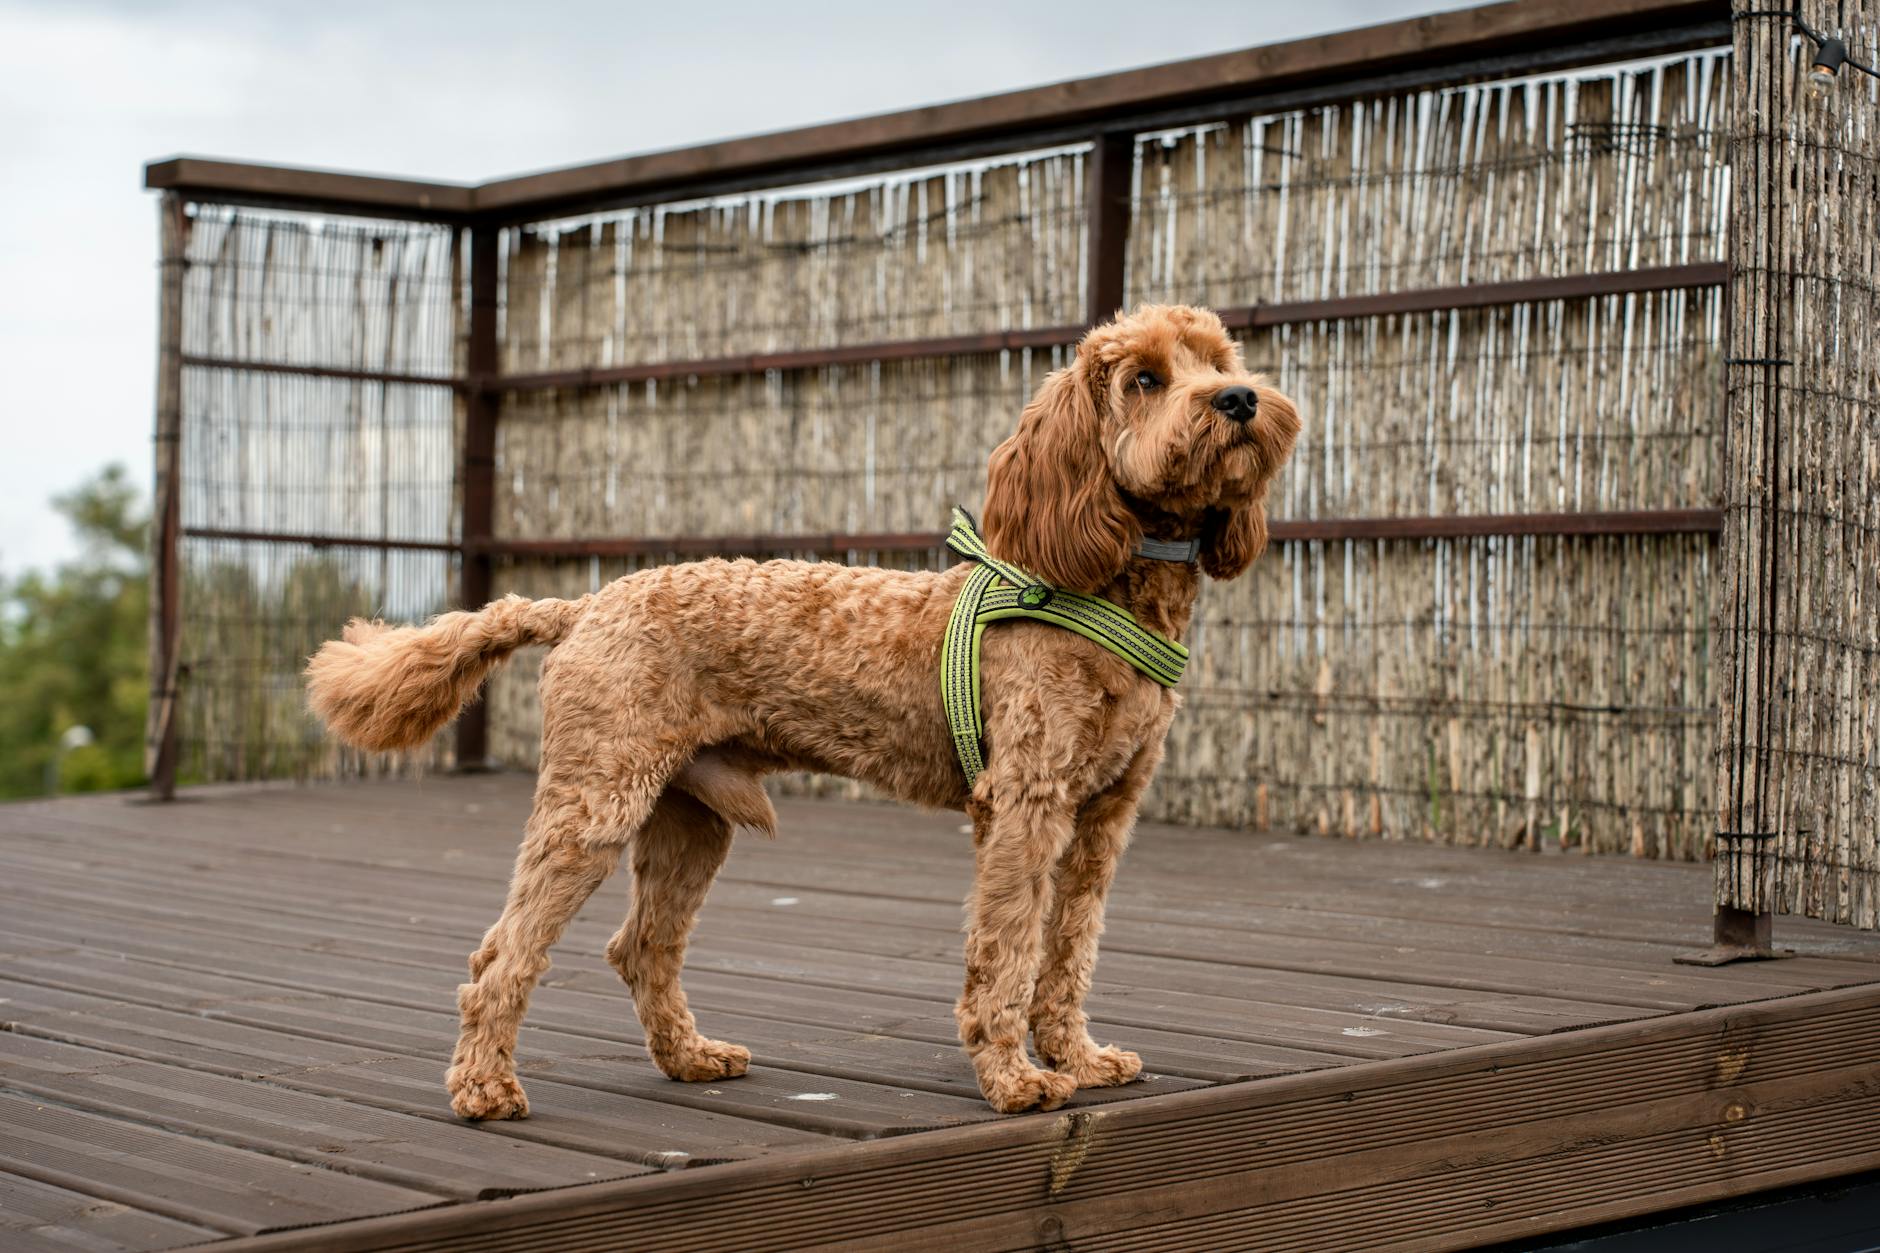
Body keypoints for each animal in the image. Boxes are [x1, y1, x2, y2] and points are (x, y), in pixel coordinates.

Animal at [312, 304, 1308, 1113]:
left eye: (1219, 358)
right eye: (1144, 379)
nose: (1239, 400)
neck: (1105, 586)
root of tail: (581, 606)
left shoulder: (1102, 818)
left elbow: (1069, 950)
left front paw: (1080, 1057)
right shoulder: (1026, 805)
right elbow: (1008, 952)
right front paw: (1015, 1078)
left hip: (689, 819)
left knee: (642, 947)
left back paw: (691, 1057)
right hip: (595, 801)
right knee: (503, 954)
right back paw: (484, 1088)